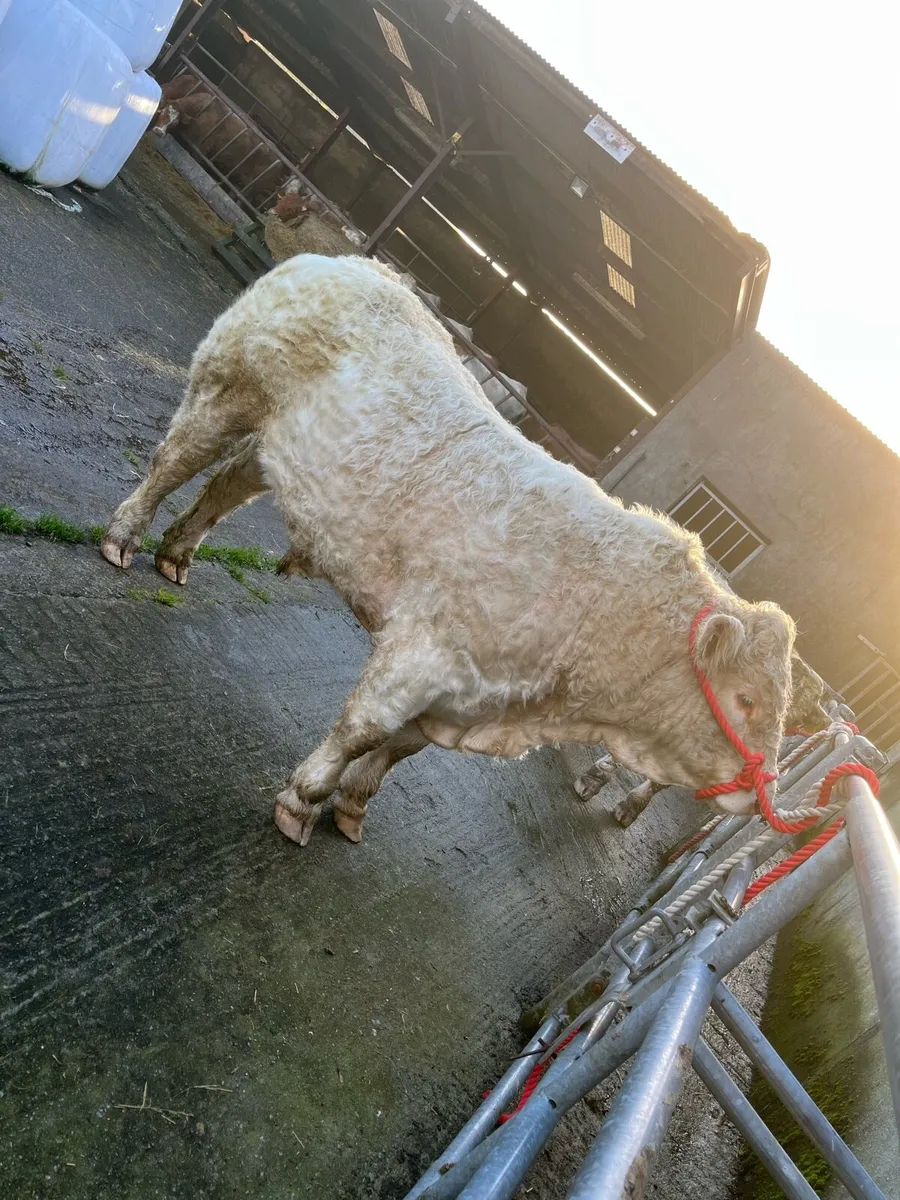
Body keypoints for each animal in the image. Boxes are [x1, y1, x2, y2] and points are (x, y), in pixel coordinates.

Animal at [100, 254, 797, 848]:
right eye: (747, 699)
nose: (763, 793)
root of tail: (351, 262)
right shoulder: (426, 647)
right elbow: (364, 729)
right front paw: (303, 799)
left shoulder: (458, 695)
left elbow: (396, 751)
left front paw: (351, 809)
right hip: (227, 391)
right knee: (172, 463)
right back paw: (123, 537)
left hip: (279, 447)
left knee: (225, 485)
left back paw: (176, 555)